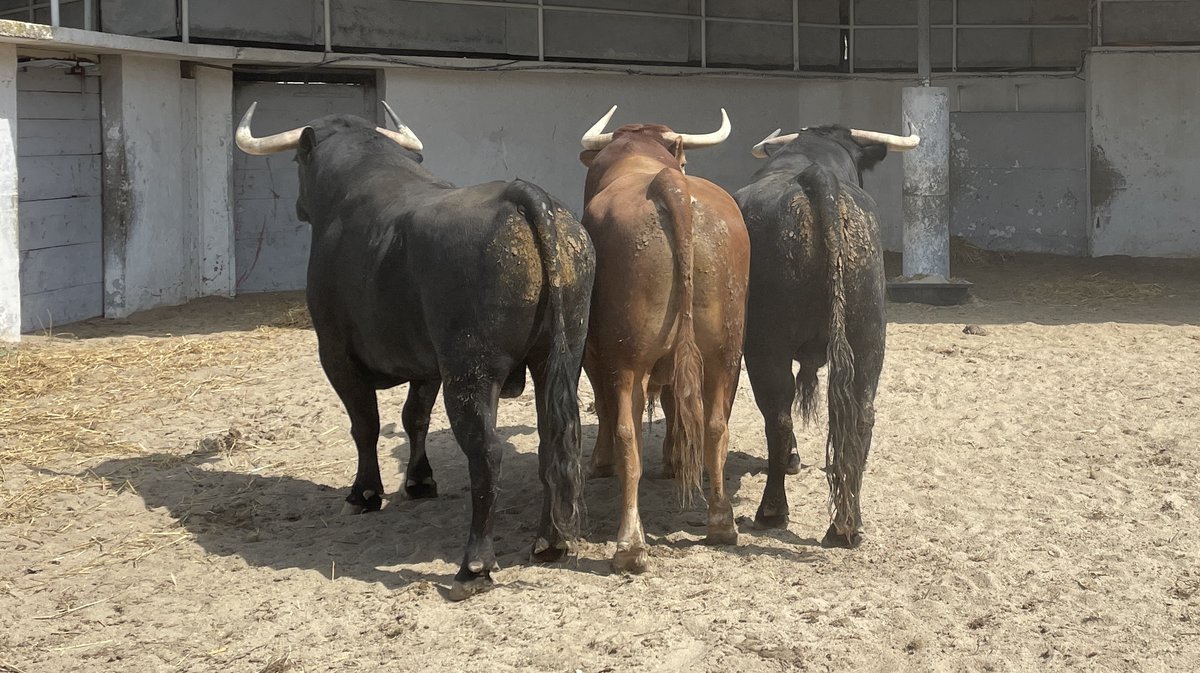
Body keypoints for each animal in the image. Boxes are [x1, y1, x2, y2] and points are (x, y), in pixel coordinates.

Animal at [234, 110, 595, 597]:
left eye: (297, 162)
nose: (298, 207)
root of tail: (523, 196)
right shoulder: (428, 365)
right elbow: (414, 417)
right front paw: (419, 481)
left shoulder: (336, 353)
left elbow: (365, 424)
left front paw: (364, 494)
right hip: (561, 357)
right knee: (554, 438)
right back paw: (550, 541)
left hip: (470, 372)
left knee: (487, 454)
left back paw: (475, 565)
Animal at [578, 106, 748, 571]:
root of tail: (667, 184)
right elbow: (677, 405)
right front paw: (674, 458)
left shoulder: (595, 356)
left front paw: (600, 462)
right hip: (725, 352)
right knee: (715, 425)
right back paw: (721, 523)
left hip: (627, 360)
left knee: (627, 433)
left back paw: (629, 545)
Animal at [734, 127, 897, 551]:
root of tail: (817, 179)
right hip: (868, 340)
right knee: (860, 417)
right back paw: (847, 524)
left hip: (766, 346)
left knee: (777, 416)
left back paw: (772, 511)